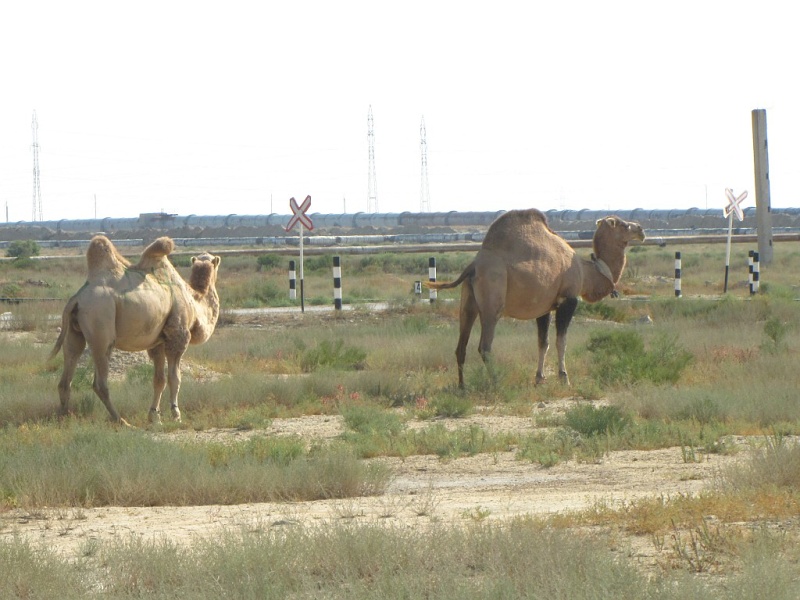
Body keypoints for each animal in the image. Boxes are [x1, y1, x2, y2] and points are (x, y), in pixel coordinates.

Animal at [50, 236, 222, 426]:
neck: (194, 300)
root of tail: (77, 299)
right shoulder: (178, 334)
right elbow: (174, 378)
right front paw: (176, 415)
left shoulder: (157, 342)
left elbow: (159, 380)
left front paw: (154, 417)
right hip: (101, 325)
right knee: (100, 382)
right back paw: (121, 421)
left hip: (74, 332)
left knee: (67, 371)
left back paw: (64, 418)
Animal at [424, 210, 644, 390]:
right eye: (623, 224)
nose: (641, 229)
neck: (586, 272)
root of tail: (473, 265)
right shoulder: (569, 299)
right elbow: (561, 341)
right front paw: (564, 378)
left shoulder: (544, 307)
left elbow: (542, 343)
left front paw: (539, 378)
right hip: (492, 302)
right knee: (484, 347)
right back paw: (496, 382)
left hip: (468, 302)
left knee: (461, 346)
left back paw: (462, 386)